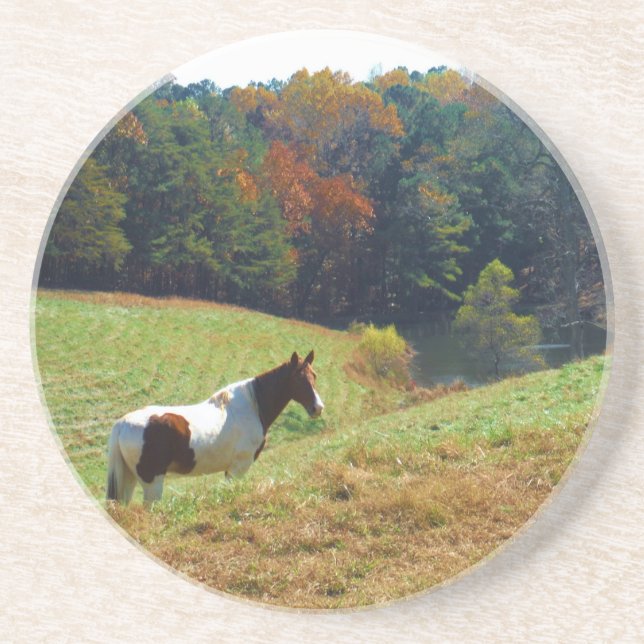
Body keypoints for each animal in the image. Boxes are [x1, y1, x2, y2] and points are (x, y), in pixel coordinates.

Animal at [106, 350, 324, 505]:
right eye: (298, 378)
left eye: (314, 375)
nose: (318, 408)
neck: (252, 406)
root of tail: (123, 423)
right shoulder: (238, 468)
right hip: (152, 483)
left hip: (129, 478)